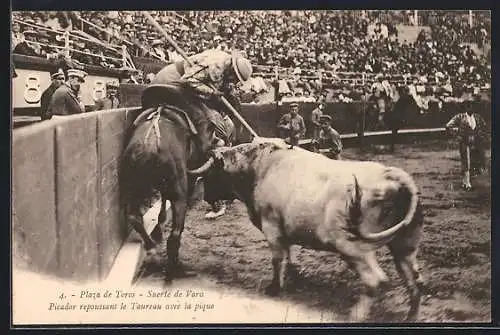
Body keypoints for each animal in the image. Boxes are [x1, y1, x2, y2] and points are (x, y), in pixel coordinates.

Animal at [120, 83, 220, 280]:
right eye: (211, 128)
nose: (218, 143)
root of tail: (149, 144)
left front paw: (159, 228)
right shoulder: (186, 180)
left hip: (134, 188)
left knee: (135, 217)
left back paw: (153, 252)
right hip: (179, 190)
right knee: (175, 233)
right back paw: (175, 268)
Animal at [189, 142, 424, 322]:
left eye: (211, 174)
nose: (207, 198)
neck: (259, 168)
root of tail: (393, 176)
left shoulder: (271, 226)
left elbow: (277, 258)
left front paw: (274, 288)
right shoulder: (284, 229)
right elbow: (288, 253)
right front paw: (293, 275)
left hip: (354, 248)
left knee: (375, 281)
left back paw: (355, 315)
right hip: (405, 245)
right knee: (415, 280)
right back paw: (411, 316)